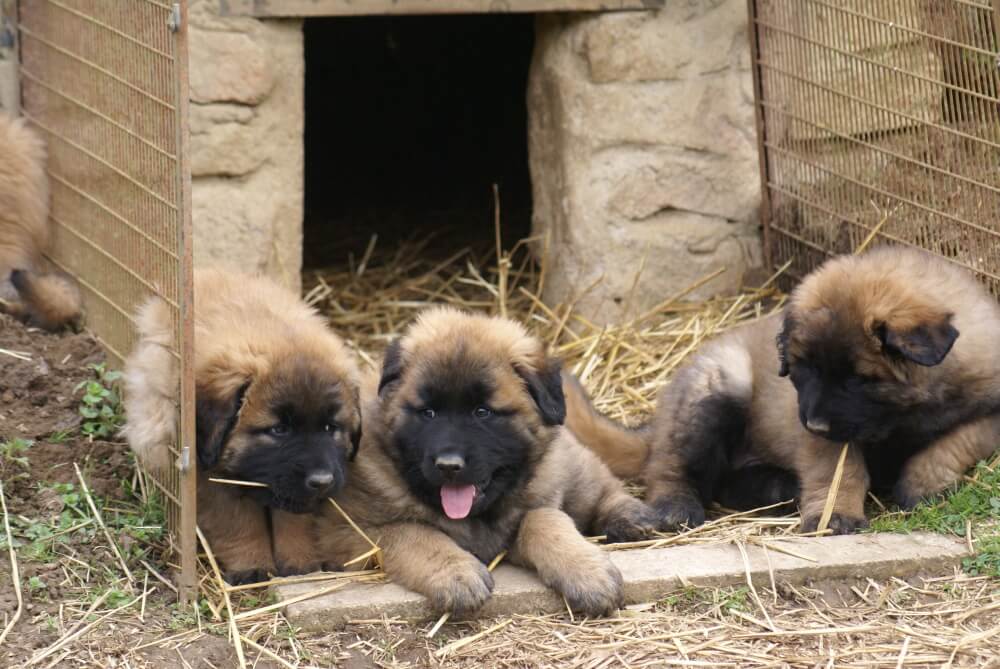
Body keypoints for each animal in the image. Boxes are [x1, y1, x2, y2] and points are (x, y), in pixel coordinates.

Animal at [121, 268, 364, 580]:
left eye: (330, 428)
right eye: (278, 430)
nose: (322, 481)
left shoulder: (292, 489)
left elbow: (294, 518)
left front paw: (300, 563)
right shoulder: (213, 478)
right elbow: (239, 523)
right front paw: (252, 566)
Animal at [318, 306, 656, 616]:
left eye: (483, 412)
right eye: (428, 412)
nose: (448, 465)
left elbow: (542, 519)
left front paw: (587, 571)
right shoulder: (345, 531)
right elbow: (410, 532)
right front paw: (456, 573)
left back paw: (629, 516)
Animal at [568, 248, 1000, 536]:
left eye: (859, 378)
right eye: (803, 370)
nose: (814, 423)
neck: (909, 411)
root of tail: (653, 426)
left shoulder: (989, 412)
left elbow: (955, 441)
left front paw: (923, 483)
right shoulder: (829, 434)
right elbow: (841, 470)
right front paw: (835, 514)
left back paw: (780, 488)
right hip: (717, 387)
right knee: (670, 464)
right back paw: (677, 506)